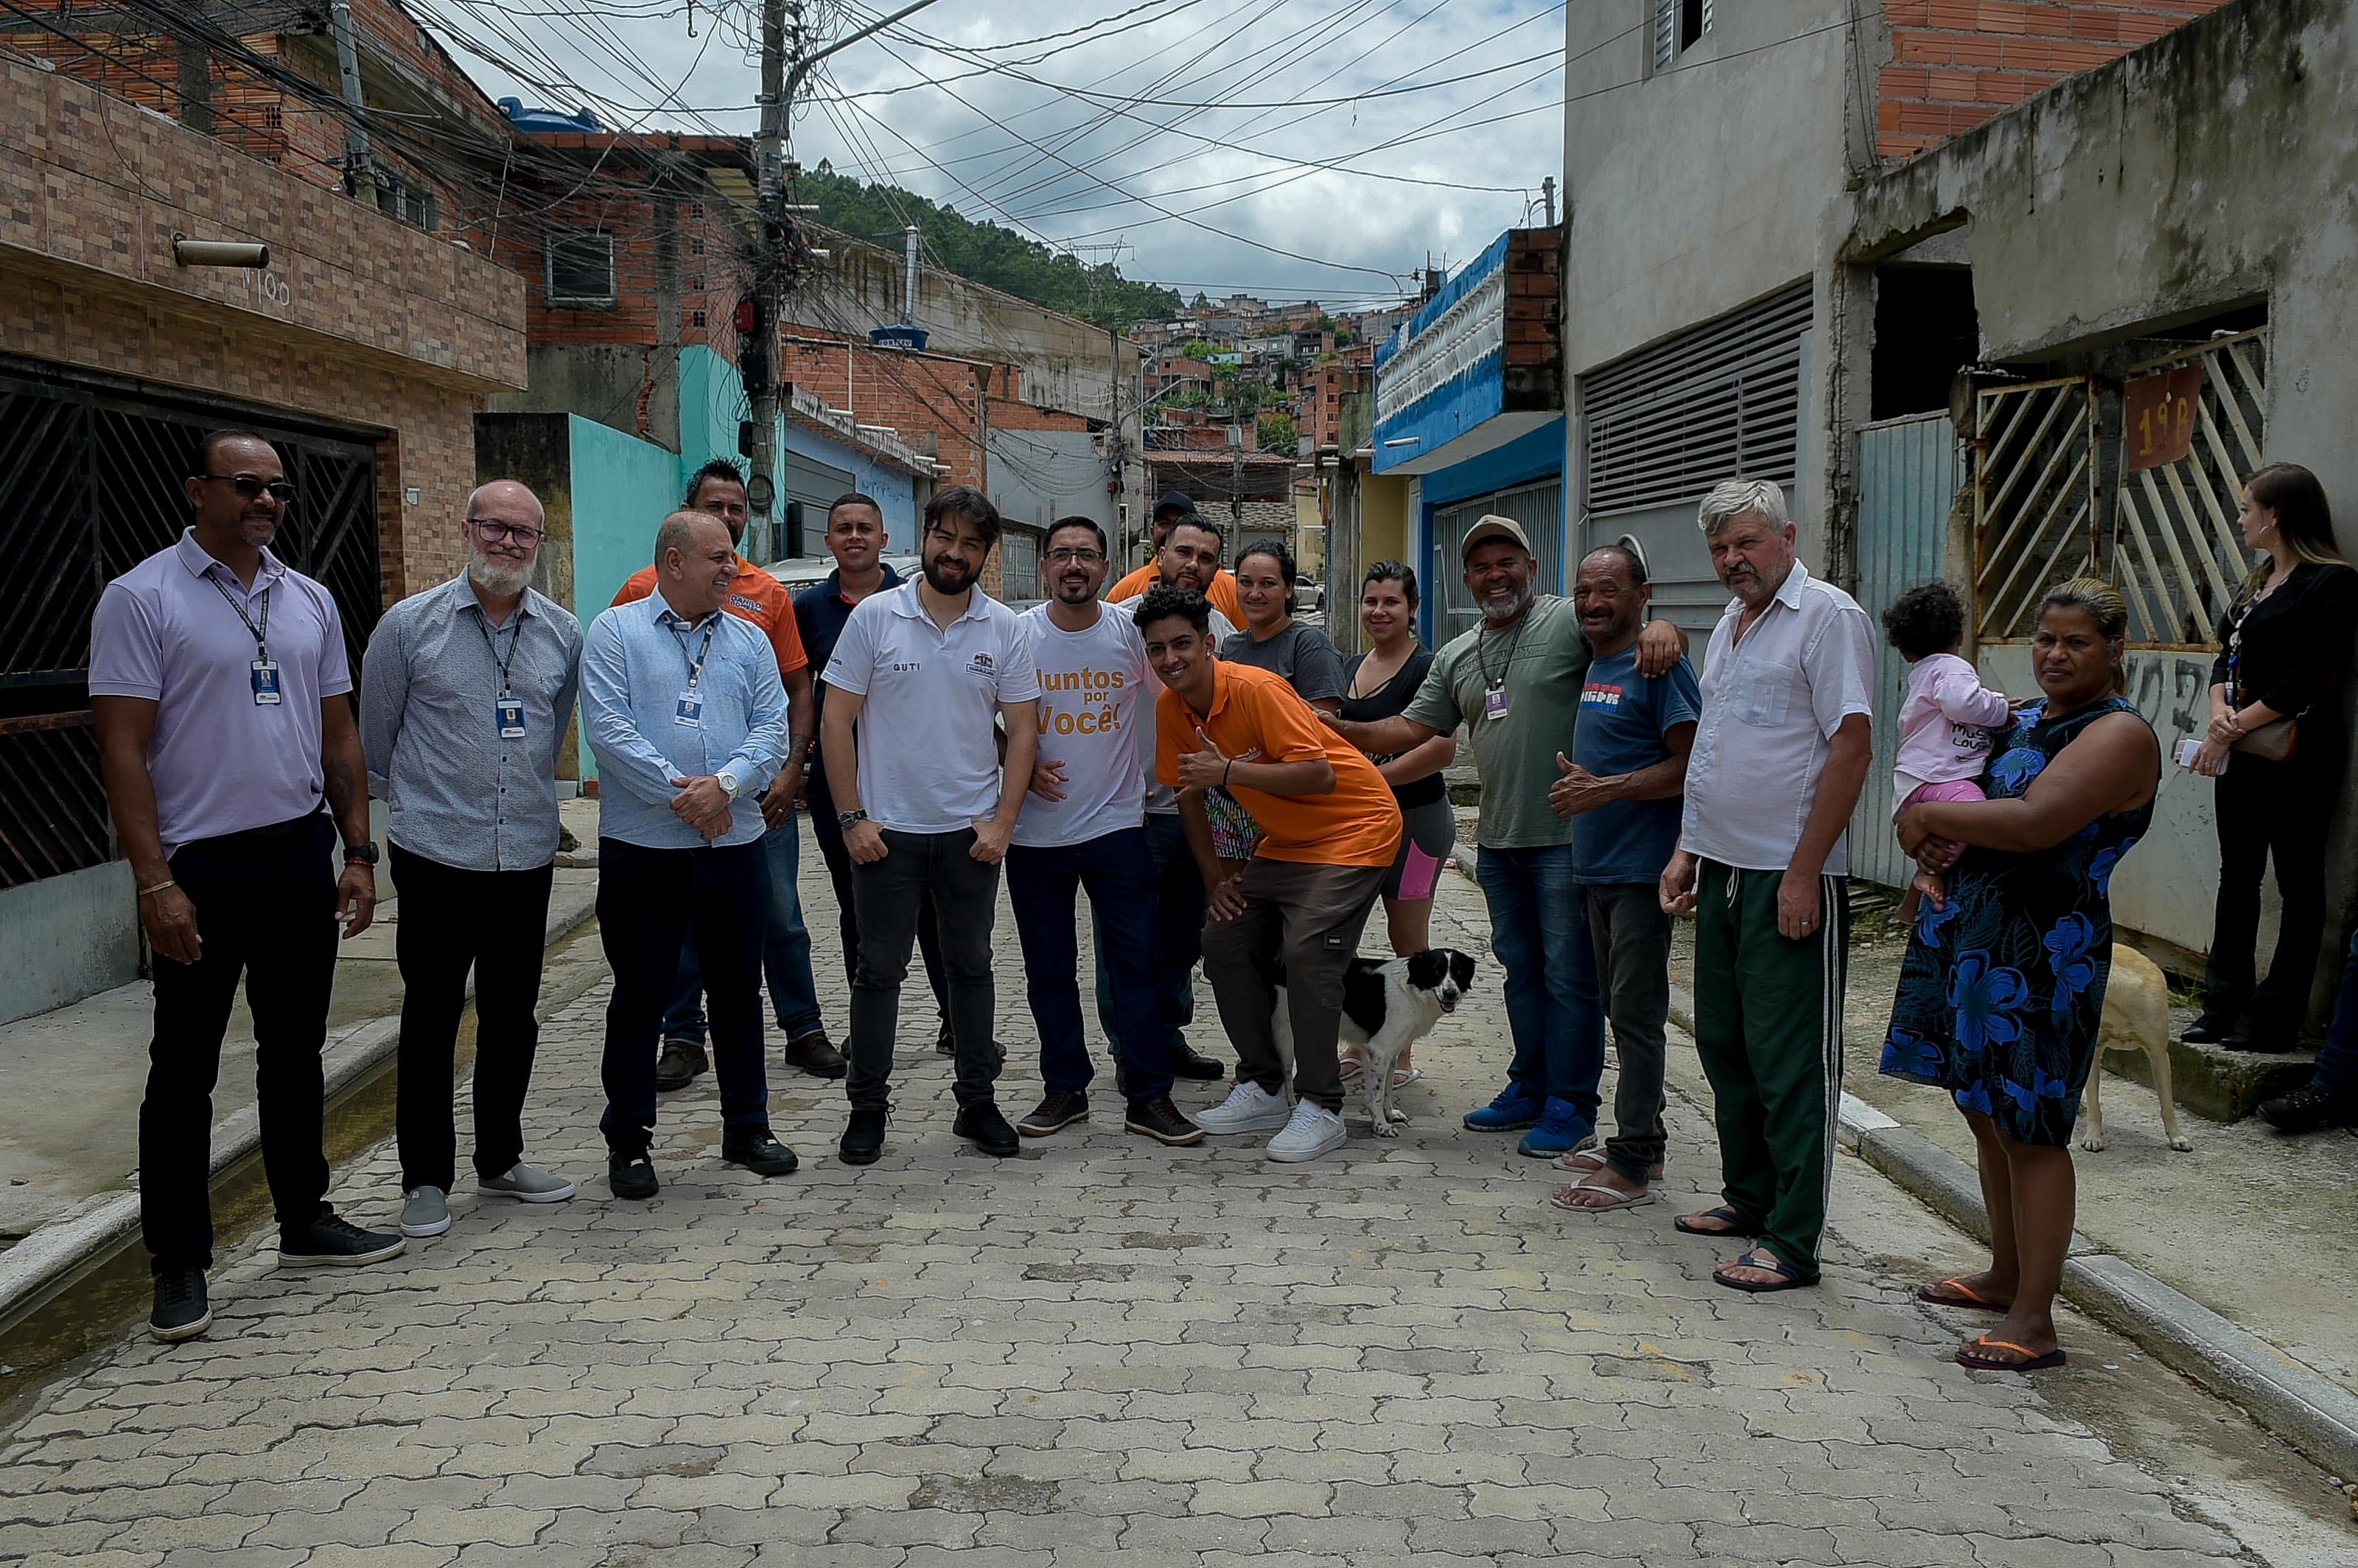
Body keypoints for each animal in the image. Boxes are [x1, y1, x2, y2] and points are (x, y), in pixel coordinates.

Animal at [1272, 948, 1480, 1137]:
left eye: (1459, 972)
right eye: (1436, 971)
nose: (1450, 993)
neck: (1410, 992)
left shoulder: (1391, 1052)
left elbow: (1387, 1089)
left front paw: (1389, 1114)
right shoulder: (1380, 1050)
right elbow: (1377, 1095)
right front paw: (1381, 1126)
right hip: (1286, 1036)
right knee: (1287, 1076)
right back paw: (1292, 1107)